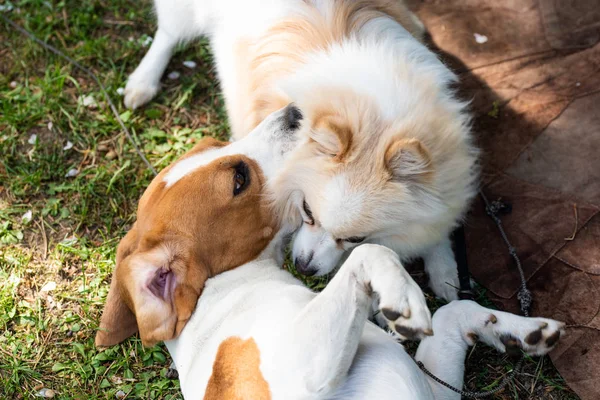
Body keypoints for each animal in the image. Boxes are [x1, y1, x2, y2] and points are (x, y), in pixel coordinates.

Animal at [96, 104, 564, 398]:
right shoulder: (306, 371)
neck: (232, 288)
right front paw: (402, 298)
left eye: (215, 143)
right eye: (239, 179)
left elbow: (453, 311)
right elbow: (368, 254)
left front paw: (515, 330)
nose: (294, 111)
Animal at [124, 0, 480, 302]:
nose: (304, 267)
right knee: (168, 32)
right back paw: (142, 81)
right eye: (307, 211)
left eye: (355, 239)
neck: (368, 108)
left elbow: (438, 225)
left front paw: (445, 270)